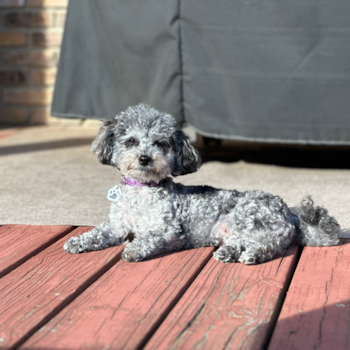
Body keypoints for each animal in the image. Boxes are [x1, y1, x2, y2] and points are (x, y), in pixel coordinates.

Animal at [64, 102, 346, 264]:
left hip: (248, 216)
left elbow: (149, 237)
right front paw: (78, 241)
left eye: (160, 143)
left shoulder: (170, 231)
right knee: (244, 241)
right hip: (235, 229)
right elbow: (98, 233)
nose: (145, 158)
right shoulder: (117, 226)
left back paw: (253, 255)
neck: (142, 193)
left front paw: (134, 249)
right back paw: (228, 253)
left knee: (269, 245)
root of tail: (289, 212)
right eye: (131, 141)